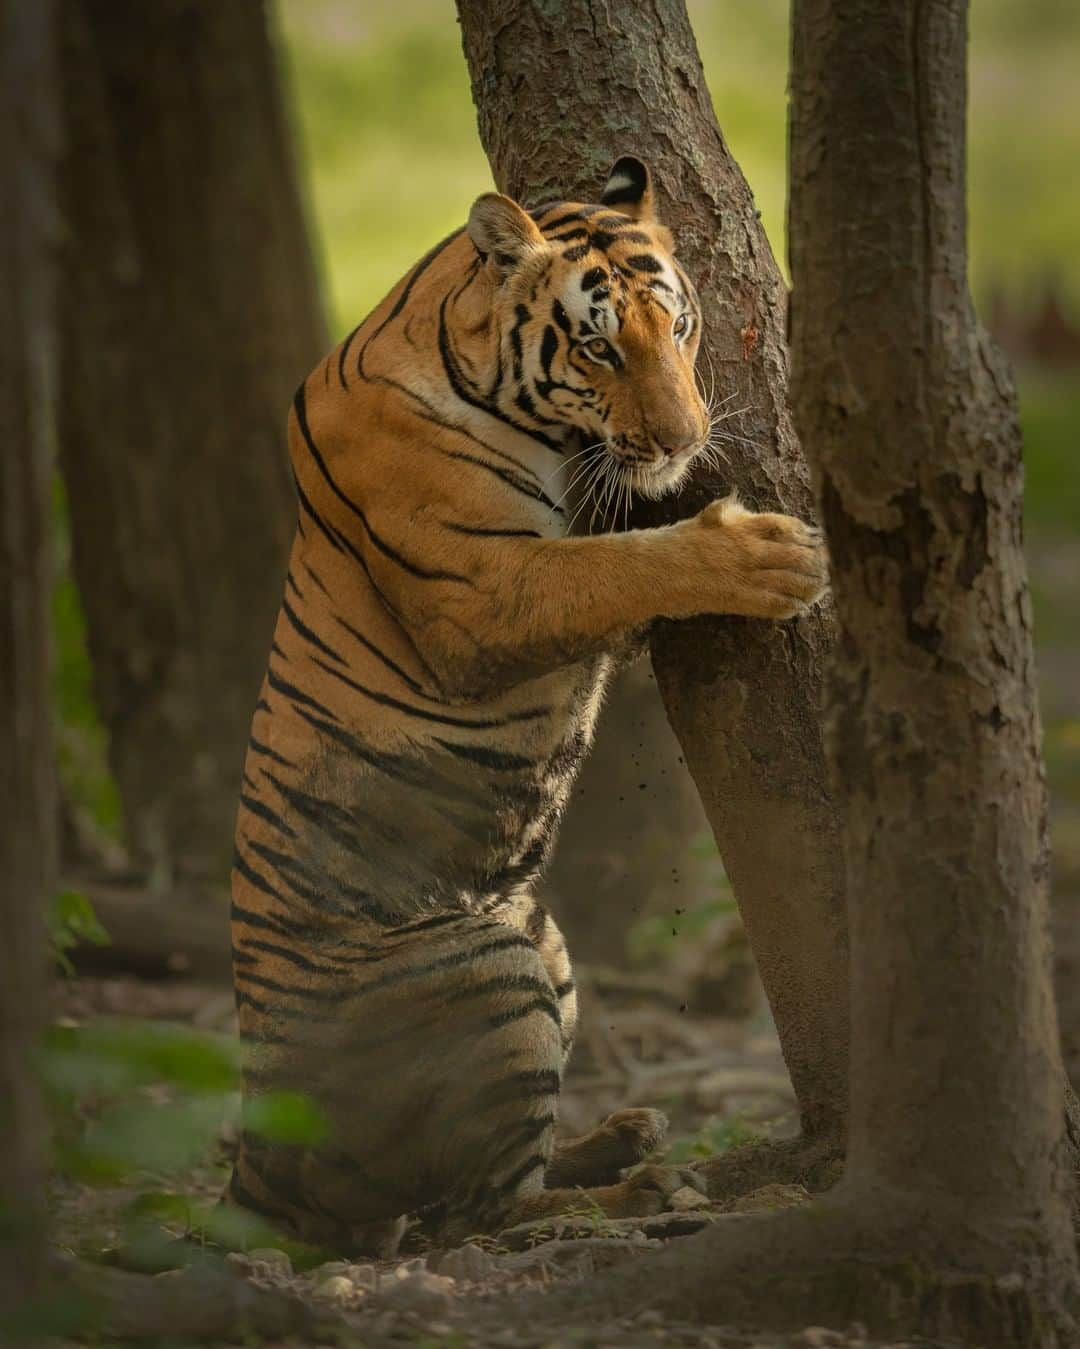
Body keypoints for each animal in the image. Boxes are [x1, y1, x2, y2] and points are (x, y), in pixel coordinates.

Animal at [223, 155, 819, 1251]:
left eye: (680, 327)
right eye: (598, 345)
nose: (686, 436)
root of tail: (257, 1148)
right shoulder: (486, 595)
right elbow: (623, 566)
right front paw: (765, 553)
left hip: (545, 941)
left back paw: (625, 1135)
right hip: (490, 968)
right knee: (475, 1215)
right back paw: (644, 1189)